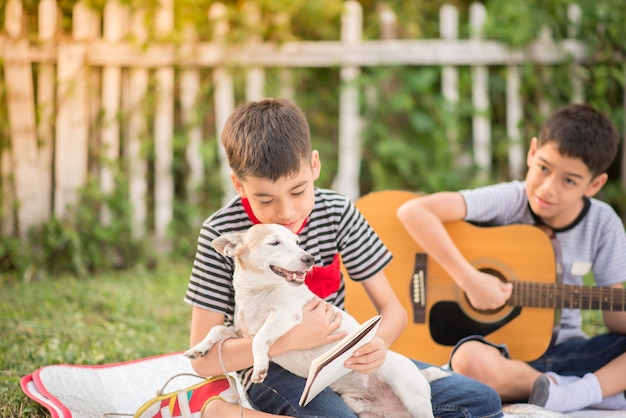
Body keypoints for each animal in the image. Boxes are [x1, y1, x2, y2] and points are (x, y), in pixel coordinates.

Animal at [183, 224, 446, 416]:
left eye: (298, 243)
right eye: (274, 242)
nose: (309, 258)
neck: (257, 294)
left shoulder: (286, 316)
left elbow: (260, 338)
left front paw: (260, 367)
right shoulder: (241, 332)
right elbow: (217, 330)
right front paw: (198, 349)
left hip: (411, 396)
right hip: (366, 409)